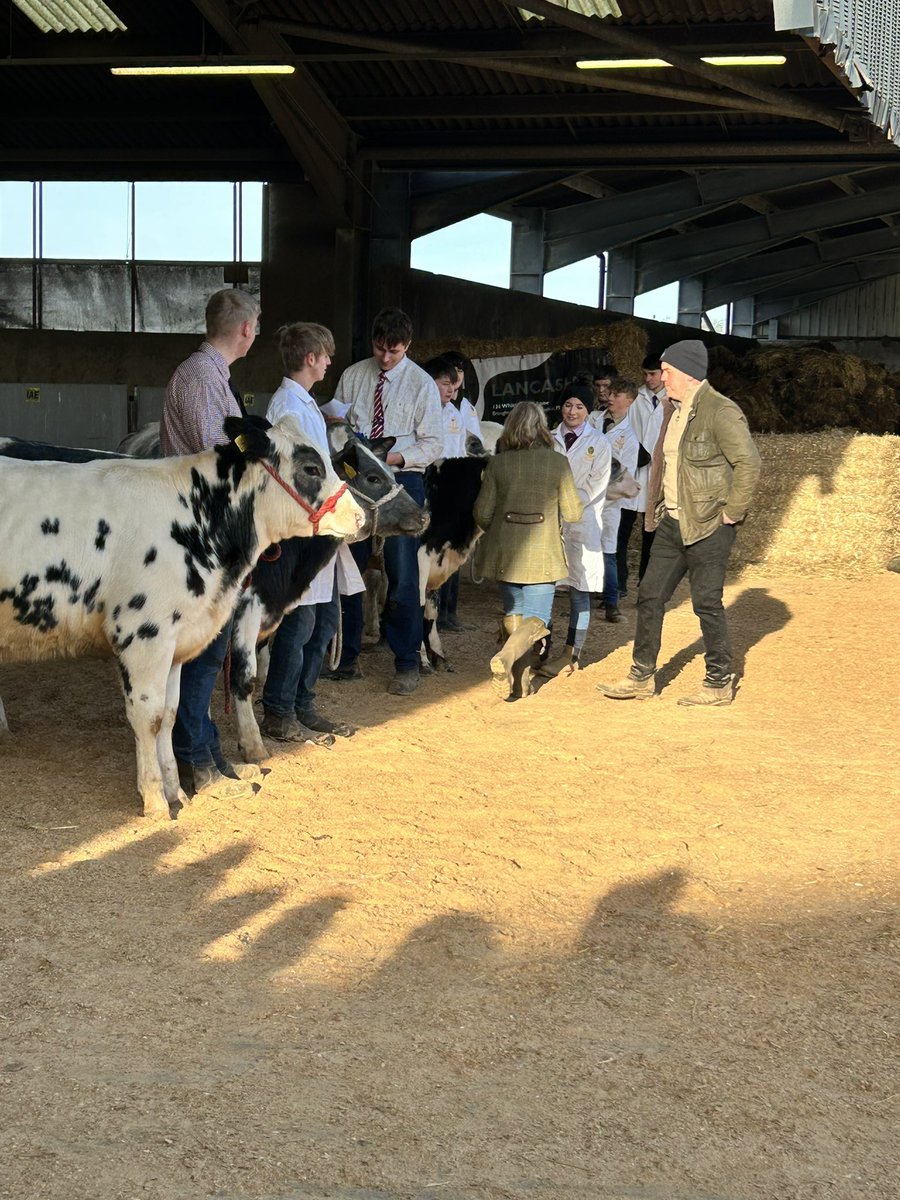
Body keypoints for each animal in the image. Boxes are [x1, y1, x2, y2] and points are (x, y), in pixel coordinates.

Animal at [1, 417, 367, 820]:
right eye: (311, 468)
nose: (361, 517)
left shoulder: (177, 642)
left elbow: (170, 714)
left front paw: (176, 790)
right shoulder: (144, 637)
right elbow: (149, 717)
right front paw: (155, 799)